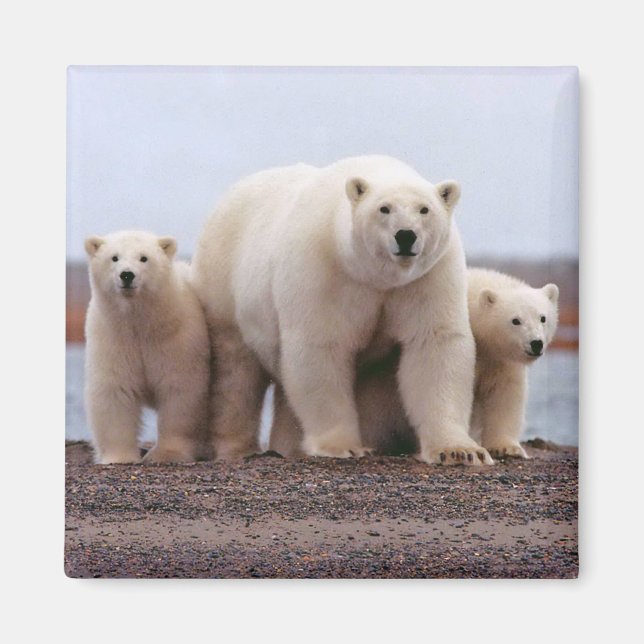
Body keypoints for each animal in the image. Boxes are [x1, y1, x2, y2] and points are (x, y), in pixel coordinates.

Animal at [84, 230, 210, 464]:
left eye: (144, 258)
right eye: (114, 257)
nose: (127, 275)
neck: (141, 323)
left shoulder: (177, 339)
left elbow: (180, 391)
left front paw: (167, 454)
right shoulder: (113, 338)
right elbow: (115, 390)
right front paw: (119, 457)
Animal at [192, 155, 493, 465]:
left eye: (424, 209)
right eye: (384, 208)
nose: (406, 236)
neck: (376, 277)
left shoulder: (427, 277)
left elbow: (434, 344)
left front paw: (460, 451)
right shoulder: (325, 270)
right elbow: (321, 347)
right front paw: (343, 446)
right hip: (224, 285)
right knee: (236, 372)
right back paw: (237, 447)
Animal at [269, 267, 559, 460]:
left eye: (543, 318)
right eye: (515, 320)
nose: (536, 343)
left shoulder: (499, 360)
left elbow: (505, 395)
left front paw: (507, 448)